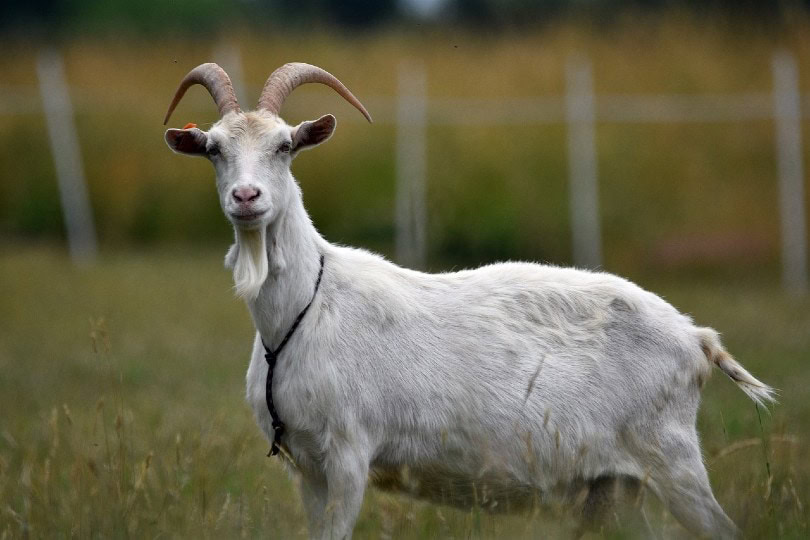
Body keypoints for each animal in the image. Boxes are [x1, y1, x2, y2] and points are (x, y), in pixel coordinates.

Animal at [164, 62, 775, 539]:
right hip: (617, 486)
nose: (247, 197)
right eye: (213, 149)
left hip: (669, 456)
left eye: (285, 145)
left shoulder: (347, 454)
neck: (302, 312)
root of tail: (697, 338)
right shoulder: (307, 467)